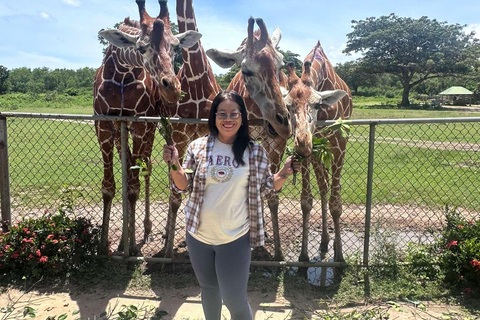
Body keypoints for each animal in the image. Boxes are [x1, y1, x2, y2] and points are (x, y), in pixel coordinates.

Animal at [93, 0, 200, 255]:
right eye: (141, 48)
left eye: (174, 47)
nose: (172, 88)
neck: (121, 73)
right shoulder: (103, 126)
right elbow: (109, 186)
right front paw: (104, 244)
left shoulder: (142, 126)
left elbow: (133, 186)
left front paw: (131, 245)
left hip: (149, 129)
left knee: (146, 169)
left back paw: (147, 230)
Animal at [207, 17, 292, 262]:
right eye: (246, 70)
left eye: (281, 66)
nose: (283, 125)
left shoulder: (275, 144)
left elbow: (271, 193)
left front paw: (278, 251)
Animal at [284, 41, 354, 264]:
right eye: (288, 106)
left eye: (316, 104)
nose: (302, 143)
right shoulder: (312, 149)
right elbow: (306, 201)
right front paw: (303, 255)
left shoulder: (340, 141)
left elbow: (336, 203)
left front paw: (340, 256)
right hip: (318, 150)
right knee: (323, 185)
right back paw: (324, 241)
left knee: (328, 186)